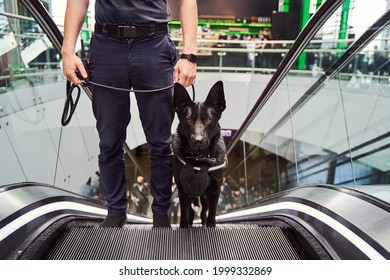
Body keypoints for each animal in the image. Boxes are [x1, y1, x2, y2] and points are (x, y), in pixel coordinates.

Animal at [173, 80, 227, 228]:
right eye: (189, 120)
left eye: (208, 119)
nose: (198, 141)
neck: (200, 157)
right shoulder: (183, 191)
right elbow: (184, 216)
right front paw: (185, 226)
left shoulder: (214, 191)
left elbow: (211, 216)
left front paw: (210, 226)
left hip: (204, 197)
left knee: (203, 212)